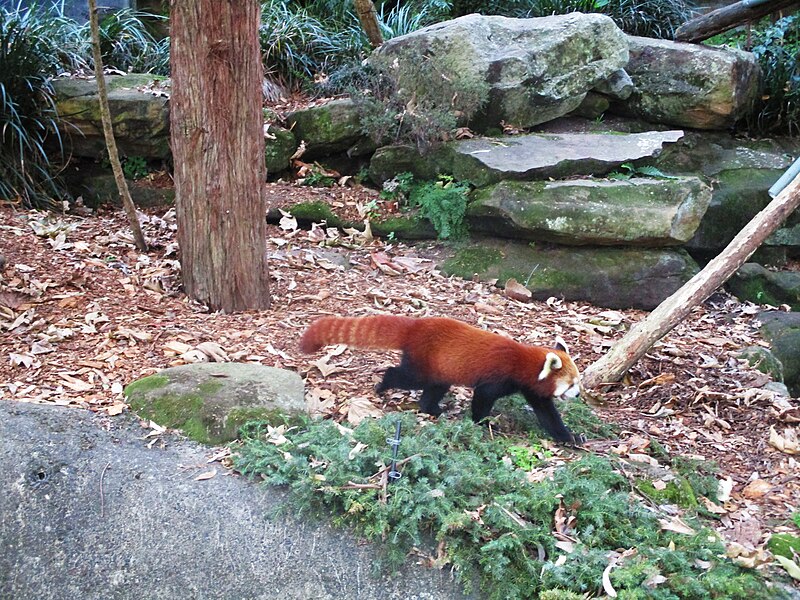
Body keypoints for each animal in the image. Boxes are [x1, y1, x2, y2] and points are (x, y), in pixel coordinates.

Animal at [300, 316, 580, 442]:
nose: (577, 395)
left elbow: (547, 414)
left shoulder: (533, 389)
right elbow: (483, 397)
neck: (524, 362)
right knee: (405, 377)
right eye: (572, 384)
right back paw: (383, 385)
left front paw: (570, 437)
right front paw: (483, 423)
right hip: (422, 363)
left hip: (440, 368)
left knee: (434, 388)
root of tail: (416, 326)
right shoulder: (499, 376)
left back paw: (432, 409)